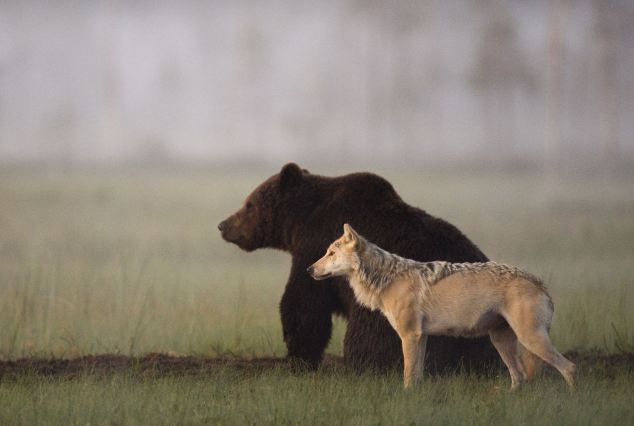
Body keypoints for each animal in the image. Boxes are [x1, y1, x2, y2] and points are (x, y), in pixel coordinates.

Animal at [217, 163, 498, 372]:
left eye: (249, 205)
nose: (223, 225)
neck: (301, 221)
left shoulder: (315, 246)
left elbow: (304, 303)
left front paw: (298, 357)